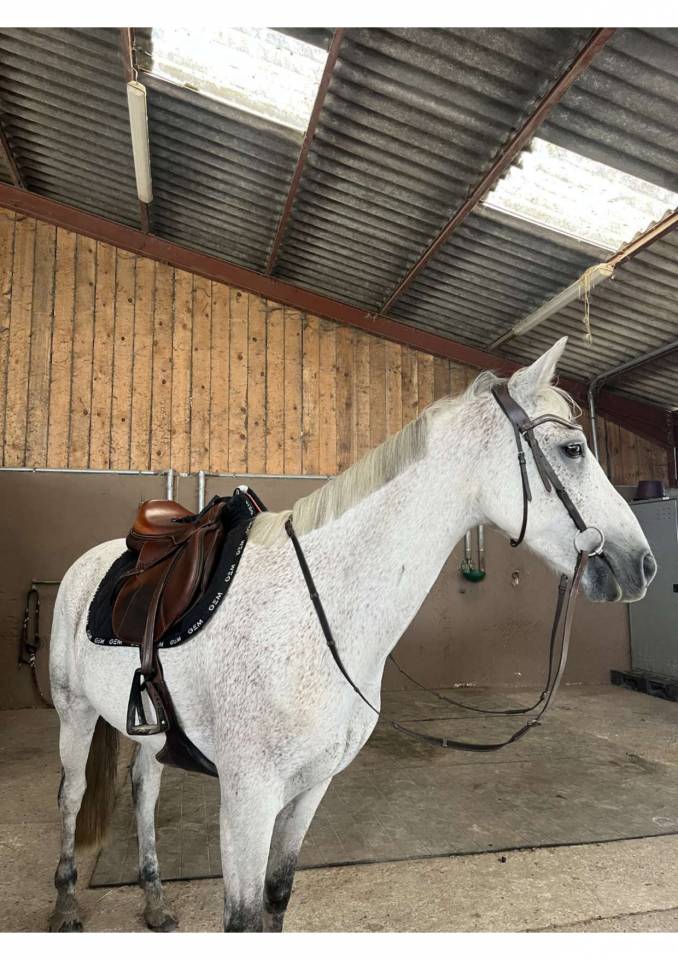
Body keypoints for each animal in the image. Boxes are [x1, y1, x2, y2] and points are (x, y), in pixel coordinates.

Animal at [48, 336, 656, 932]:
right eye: (572, 450)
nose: (643, 565)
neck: (318, 617)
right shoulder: (247, 799)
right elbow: (243, 919)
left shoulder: (311, 788)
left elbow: (277, 895)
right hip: (75, 713)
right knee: (72, 796)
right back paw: (65, 905)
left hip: (152, 737)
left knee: (143, 790)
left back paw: (154, 902)